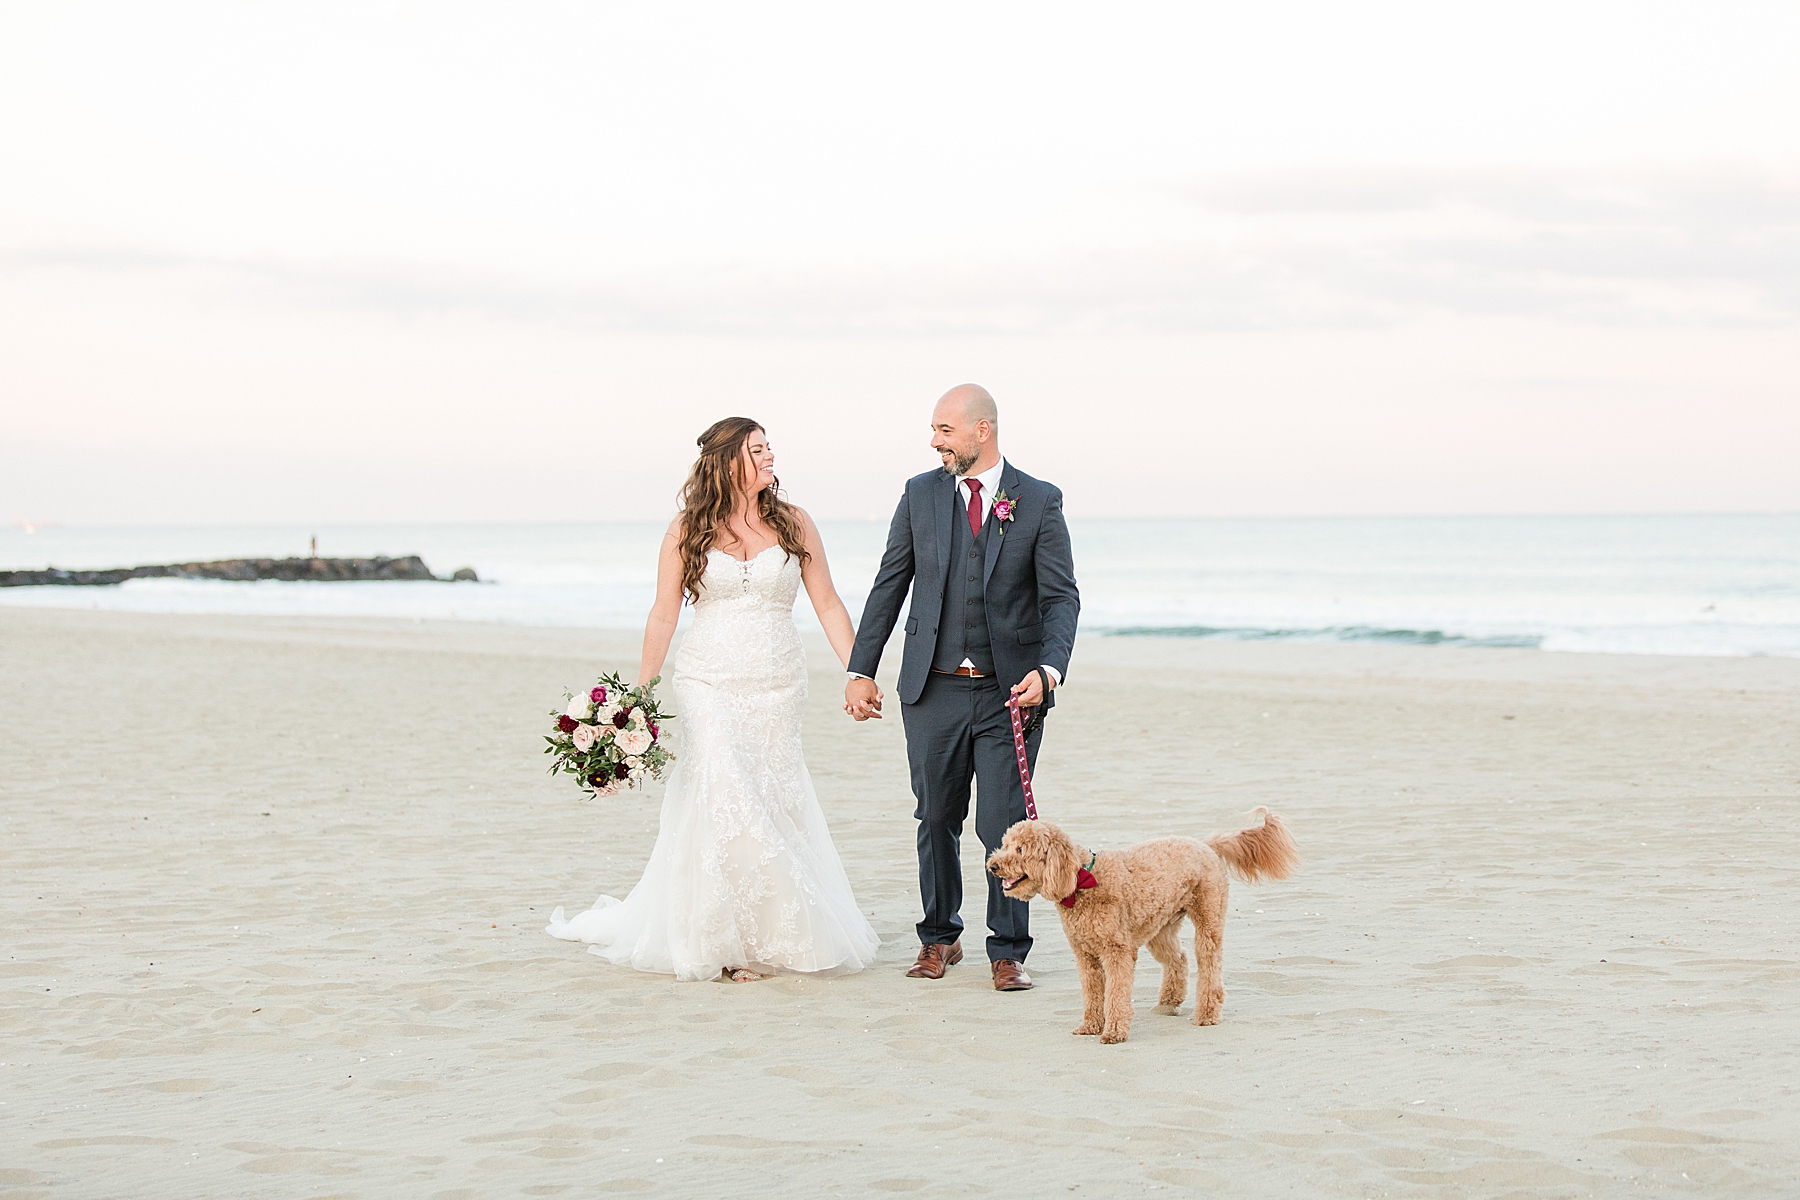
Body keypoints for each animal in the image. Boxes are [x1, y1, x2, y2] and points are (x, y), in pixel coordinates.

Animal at [986, 813, 1296, 1043]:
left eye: (1020, 849)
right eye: (1006, 844)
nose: (993, 865)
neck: (1081, 881)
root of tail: (1207, 846)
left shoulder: (1117, 952)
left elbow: (1115, 994)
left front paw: (1114, 1031)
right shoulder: (1085, 955)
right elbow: (1092, 993)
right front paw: (1090, 1025)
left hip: (1208, 920)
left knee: (1210, 965)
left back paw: (1208, 1012)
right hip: (1161, 928)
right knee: (1178, 959)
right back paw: (1169, 1002)